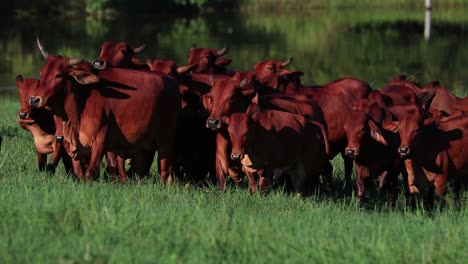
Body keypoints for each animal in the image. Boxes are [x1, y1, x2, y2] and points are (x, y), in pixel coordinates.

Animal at [28, 46, 179, 182]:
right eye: (41, 73)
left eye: (58, 75)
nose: (34, 99)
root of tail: (173, 82)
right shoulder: (71, 146)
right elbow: (78, 173)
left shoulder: (100, 141)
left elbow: (90, 173)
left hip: (165, 139)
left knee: (164, 170)